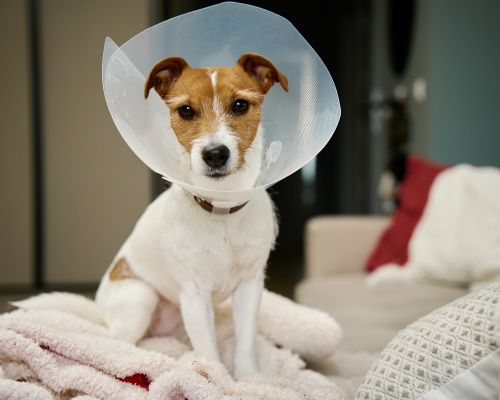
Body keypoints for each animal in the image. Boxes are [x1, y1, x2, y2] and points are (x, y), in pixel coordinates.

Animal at [94, 53, 290, 378]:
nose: (215, 154)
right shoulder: (195, 295)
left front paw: (249, 379)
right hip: (140, 297)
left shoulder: (250, 286)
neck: (222, 207)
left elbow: (245, 342)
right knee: (113, 342)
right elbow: (209, 353)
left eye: (240, 105)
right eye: (185, 110)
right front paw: (216, 379)